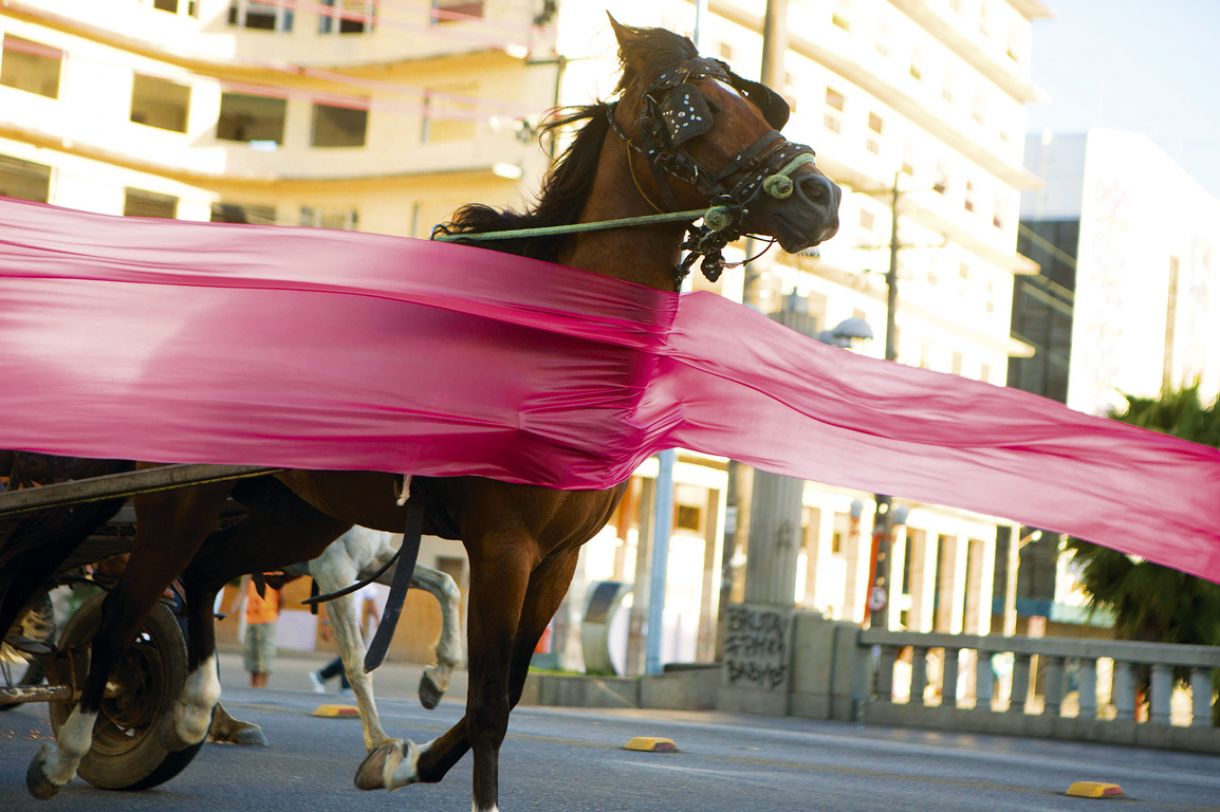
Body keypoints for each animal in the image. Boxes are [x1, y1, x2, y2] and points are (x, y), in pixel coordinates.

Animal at [23, 20, 839, 809]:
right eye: (697, 109)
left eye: (755, 103)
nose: (821, 195)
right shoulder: (503, 545)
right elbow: (486, 702)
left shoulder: (561, 558)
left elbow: (506, 694)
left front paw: (402, 761)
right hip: (183, 500)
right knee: (127, 606)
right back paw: (75, 744)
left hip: (295, 514)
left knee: (203, 573)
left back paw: (192, 711)